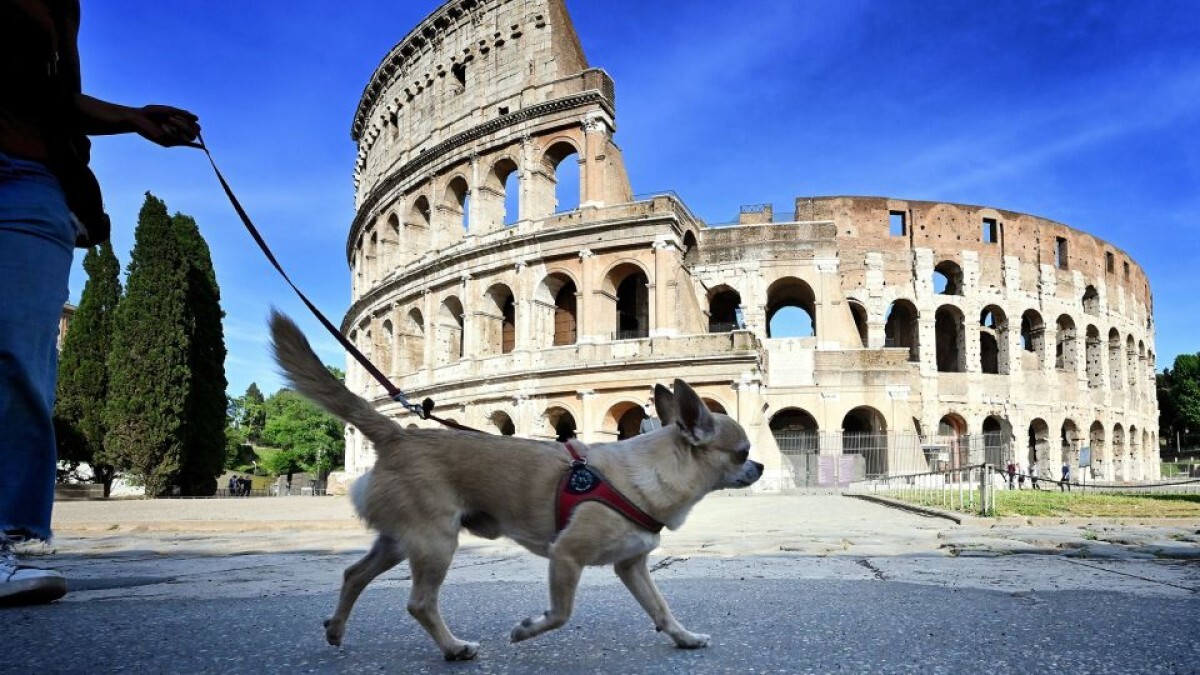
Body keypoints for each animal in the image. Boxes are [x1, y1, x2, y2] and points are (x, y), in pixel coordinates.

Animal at [268, 312, 763, 658]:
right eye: (742, 451)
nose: (759, 465)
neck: (647, 471)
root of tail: (400, 434)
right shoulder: (566, 556)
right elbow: (561, 612)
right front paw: (526, 630)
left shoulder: (632, 567)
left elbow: (660, 608)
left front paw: (684, 637)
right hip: (435, 542)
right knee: (420, 603)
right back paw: (453, 648)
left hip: (397, 541)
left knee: (354, 574)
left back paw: (337, 629)